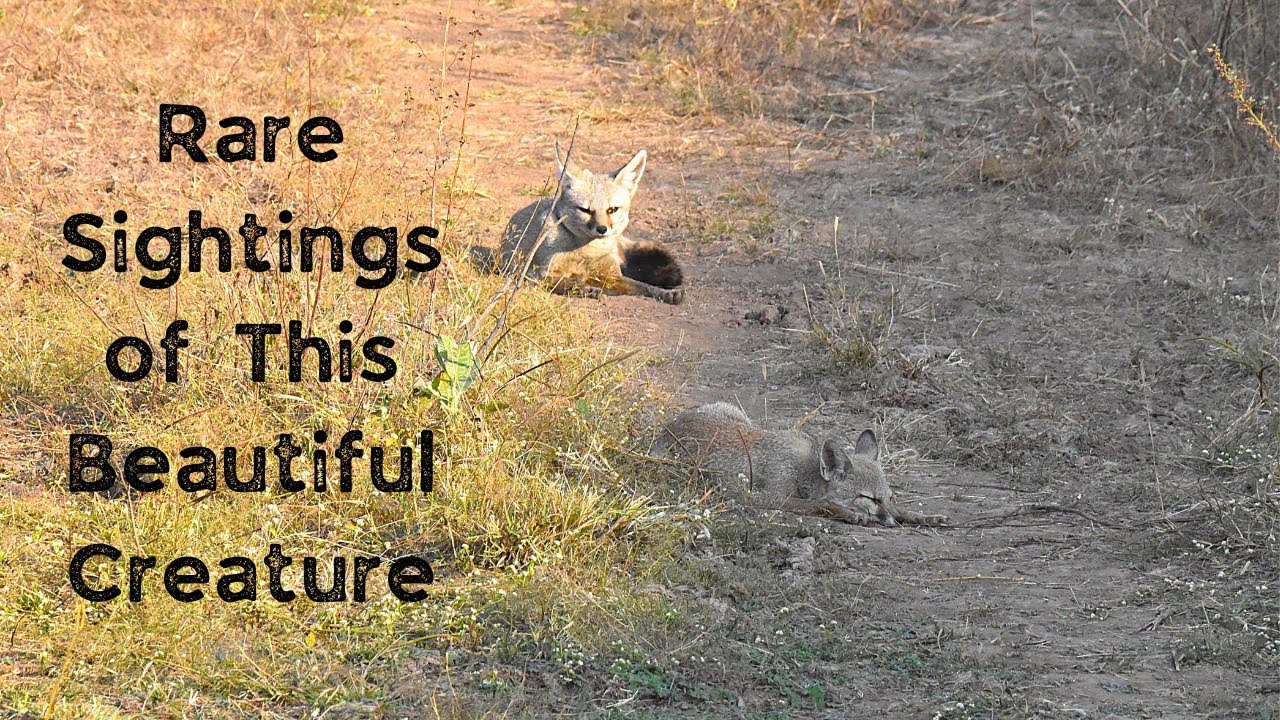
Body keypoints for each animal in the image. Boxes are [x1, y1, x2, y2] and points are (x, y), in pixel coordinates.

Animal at [492, 142, 684, 305]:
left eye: (612, 209)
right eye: (585, 210)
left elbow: (643, 286)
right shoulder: (537, 274)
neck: (586, 252)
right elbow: (568, 282)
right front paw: (585, 288)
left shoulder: (611, 276)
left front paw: (664, 293)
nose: (602, 229)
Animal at [654, 402, 947, 527]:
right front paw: (848, 513)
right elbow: (817, 504)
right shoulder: (762, 497)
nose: (893, 522)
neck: (805, 468)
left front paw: (919, 516)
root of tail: (669, 425)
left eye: (888, 497)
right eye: (869, 499)